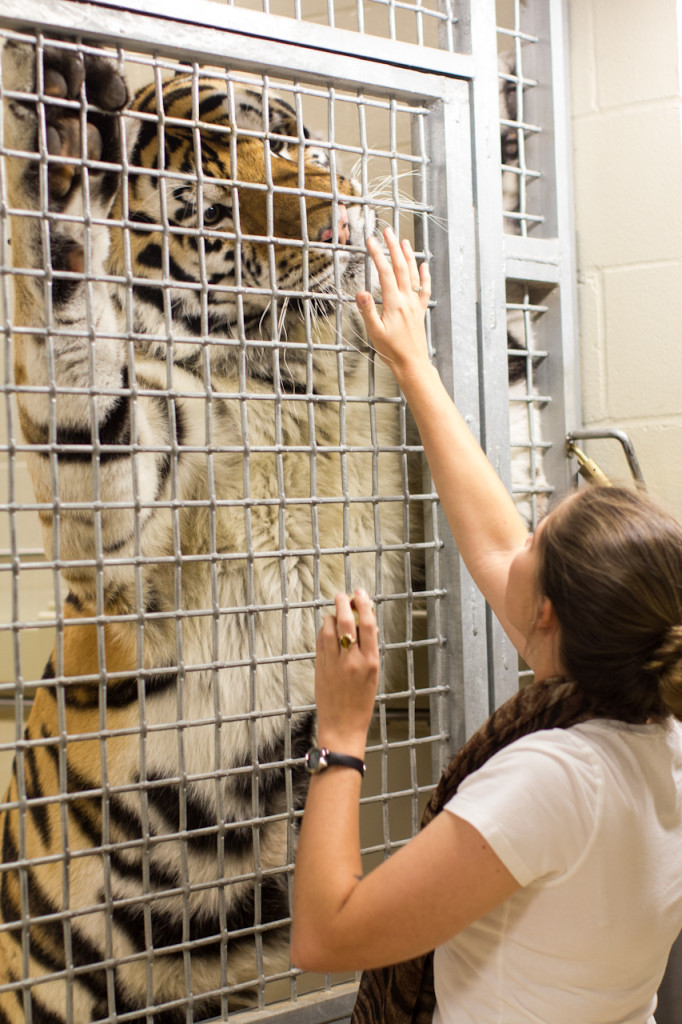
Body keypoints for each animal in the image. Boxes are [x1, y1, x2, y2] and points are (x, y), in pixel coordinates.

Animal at [1, 39, 409, 1024]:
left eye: (287, 140)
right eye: (216, 194)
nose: (340, 218)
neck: (299, 381)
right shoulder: (132, 497)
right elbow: (76, 348)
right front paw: (60, 154)